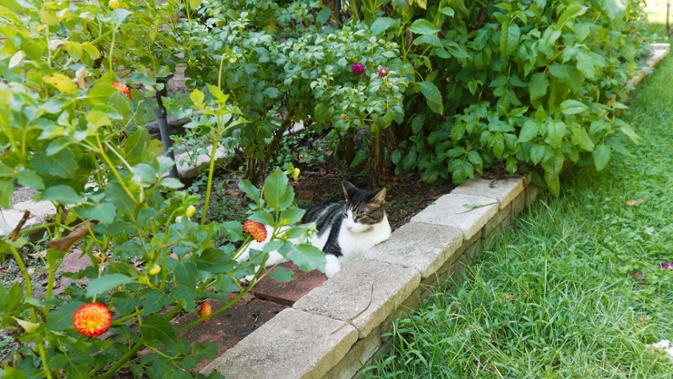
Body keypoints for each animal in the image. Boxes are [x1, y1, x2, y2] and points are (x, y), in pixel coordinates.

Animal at [239, 180, 392, 280]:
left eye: (359, 216)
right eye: (345, 214)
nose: (348, 226)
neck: (361, 236)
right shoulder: (330, 249)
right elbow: (332, 266)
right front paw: (337, 275)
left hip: (280, 253)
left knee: (256, 260)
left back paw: (247, 277)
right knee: (243, 254)